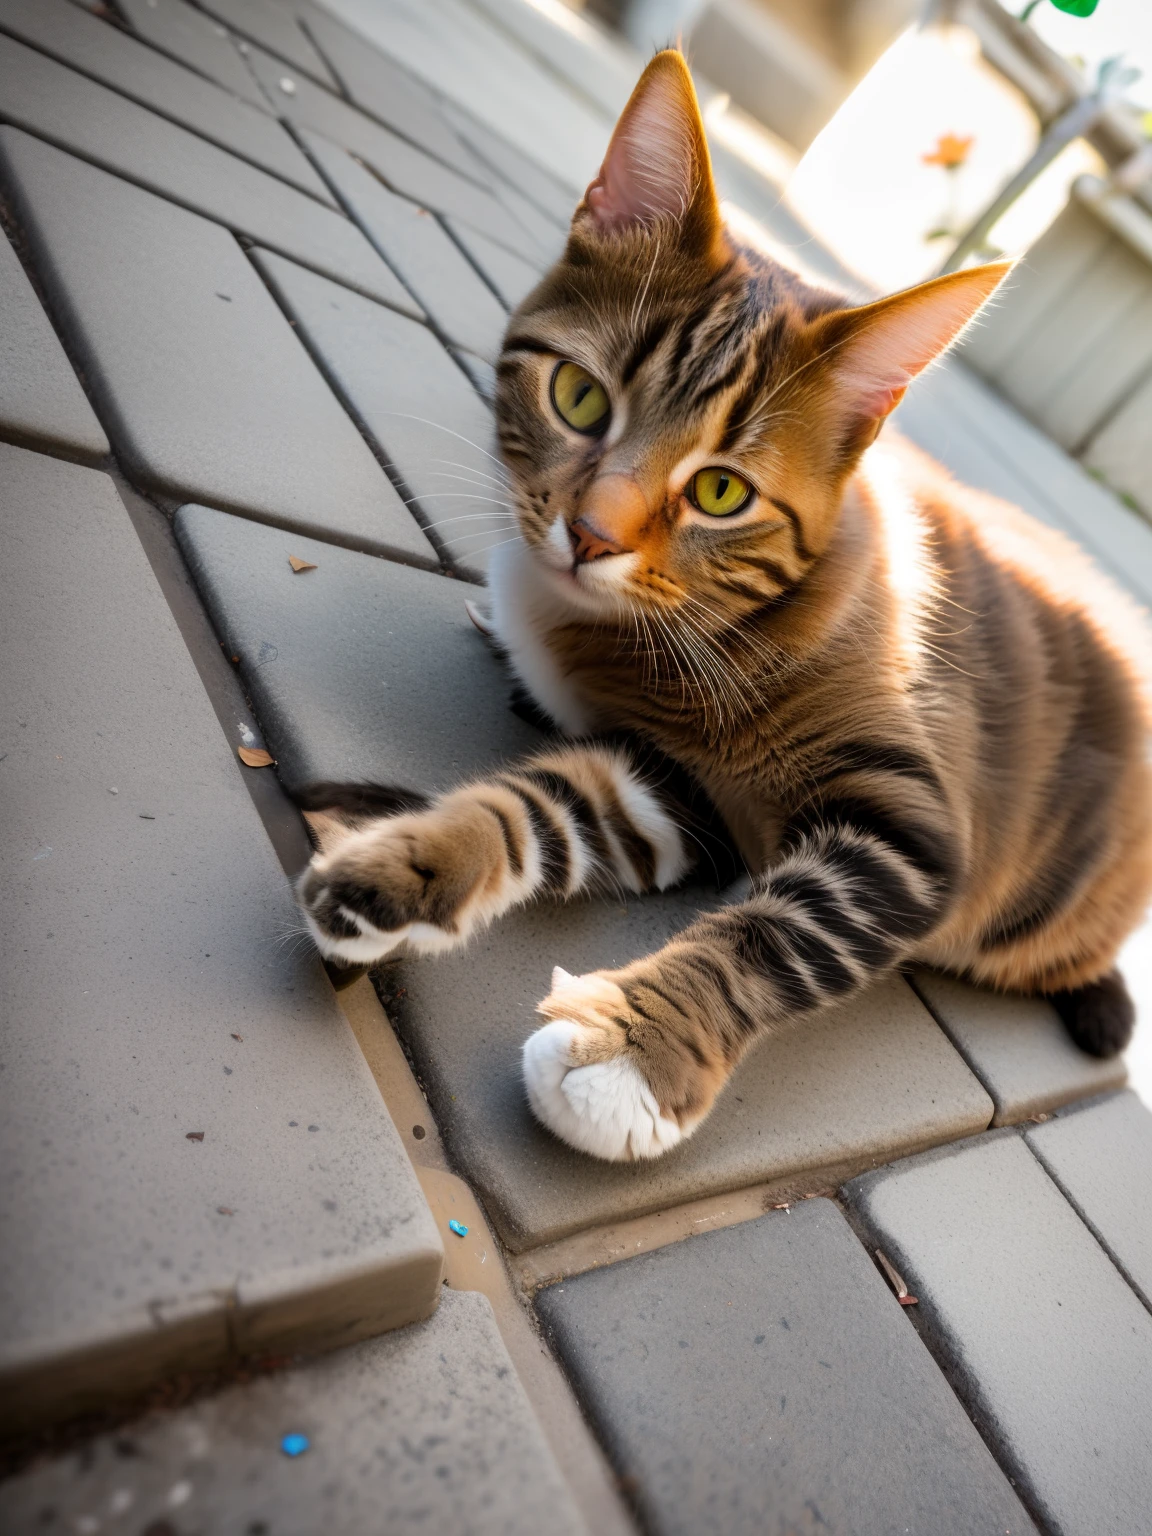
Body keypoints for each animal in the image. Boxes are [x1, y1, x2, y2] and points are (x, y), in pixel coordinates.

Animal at [297, 54, 1152, 1161]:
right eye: (579, 397)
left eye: (719, 492)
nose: (590, 534)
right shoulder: (678, 794)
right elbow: (549, 802)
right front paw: (416, 860)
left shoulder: (911, 830)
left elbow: (776, 934)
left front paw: (637, 1048)